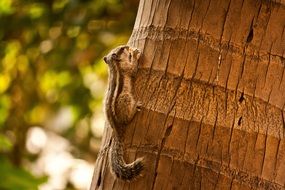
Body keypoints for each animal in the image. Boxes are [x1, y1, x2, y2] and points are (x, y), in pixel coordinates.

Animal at [102, 45, 144, 181]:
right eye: (122, 48)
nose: (128, 46)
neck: (114, 65)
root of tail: (116, 128)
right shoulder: (127, 69)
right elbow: (134, 69)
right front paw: (135, 54)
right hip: (125, 98)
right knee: (128, 118)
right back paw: (135, 108)